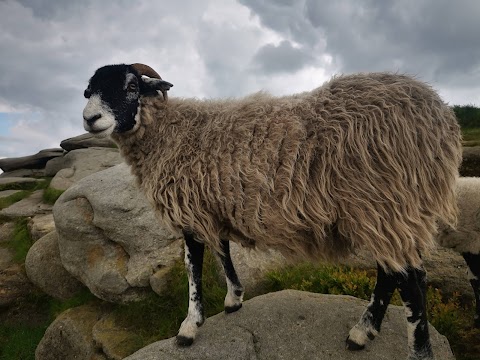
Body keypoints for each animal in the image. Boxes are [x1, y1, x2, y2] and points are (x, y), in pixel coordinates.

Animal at [81, 63, 462, 358]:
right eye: (89, 91)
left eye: (131, 86)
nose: (90, 119)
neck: (170, 133)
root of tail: (440, 116)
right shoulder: (213, 206)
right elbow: (223, 253)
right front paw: (234, 299)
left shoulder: (190, 212)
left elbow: (194, 269)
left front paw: (189, 327)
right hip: (388, 209)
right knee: (393, 272)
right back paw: (362, 332)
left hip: (386, 200)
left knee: (411, 281)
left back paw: (417, 351)